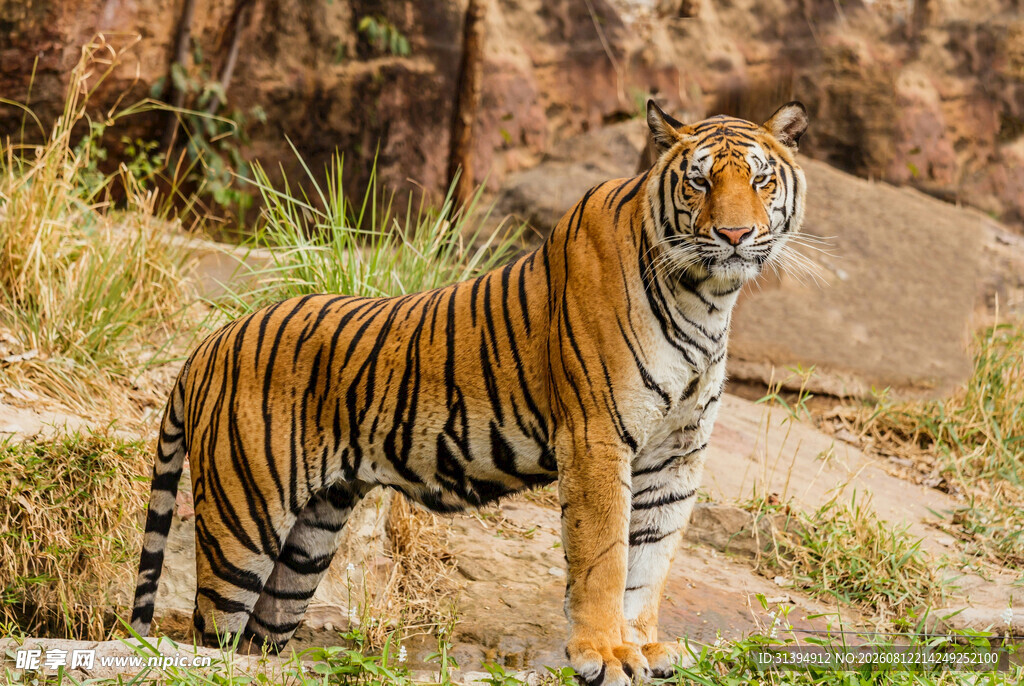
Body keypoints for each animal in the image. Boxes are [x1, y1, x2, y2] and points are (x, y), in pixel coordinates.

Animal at [130, 100, 808, 685]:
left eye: (760, 180)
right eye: (698, 182)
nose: (735, 235)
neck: (707, 299)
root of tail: (208, 342)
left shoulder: (677, 455)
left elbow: (650, 560)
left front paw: (643, 647)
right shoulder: (596, 439)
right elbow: (605, 557)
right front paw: (606, 654)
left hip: (308, 542)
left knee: (257, 639)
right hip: (242, 520)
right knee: (209, 632)